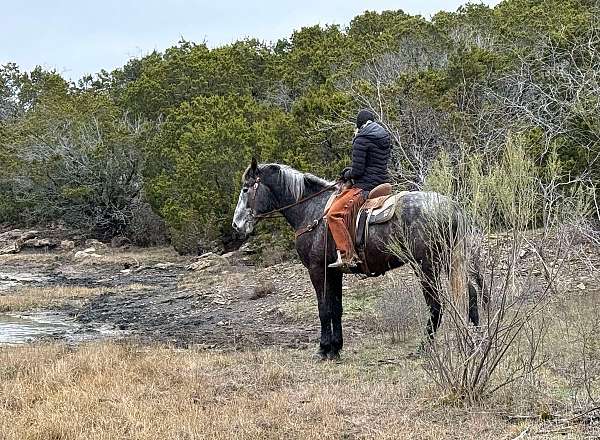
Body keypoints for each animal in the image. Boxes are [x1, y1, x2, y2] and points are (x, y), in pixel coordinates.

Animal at [230, 160, 482, 360]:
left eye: (245, 189)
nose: (236, 225)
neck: (312, 212)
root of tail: (452, 207)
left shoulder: (317, 269)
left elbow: (324, 308)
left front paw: (323, 349)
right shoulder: (334, 271)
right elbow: (336, 308)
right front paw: (336, 348)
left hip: (426, 266)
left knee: (436, 305)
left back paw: (424, 348)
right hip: (449, 261)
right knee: (471, 294)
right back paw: (476, 342)